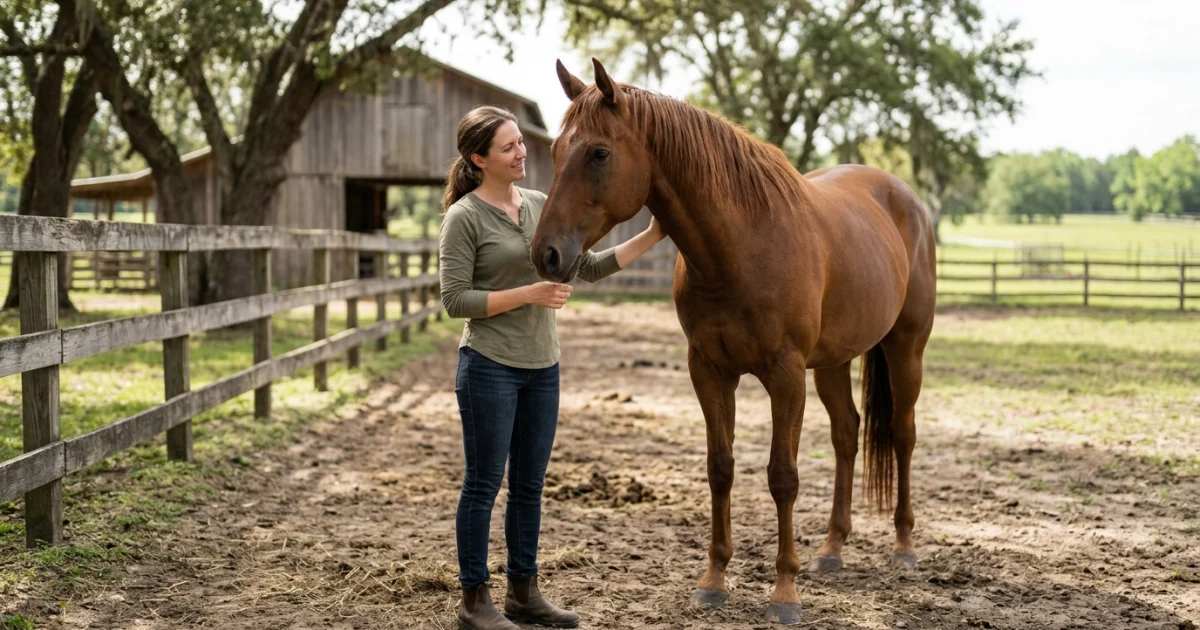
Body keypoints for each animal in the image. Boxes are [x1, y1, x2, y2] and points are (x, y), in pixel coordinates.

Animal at [530, 58, 937, 625]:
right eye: (554, 151)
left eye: (598, 152)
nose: (545, 254)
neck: (740, 246)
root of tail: (904, 196)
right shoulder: (708, 369)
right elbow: (719, 468)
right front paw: (714, 580)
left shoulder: (785, 375)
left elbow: (782, 476)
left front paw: (784, 594)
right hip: (833, 361)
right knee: (847, 434)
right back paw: (831, 549)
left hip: (906, 347)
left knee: (901, 434)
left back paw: (904, 547)